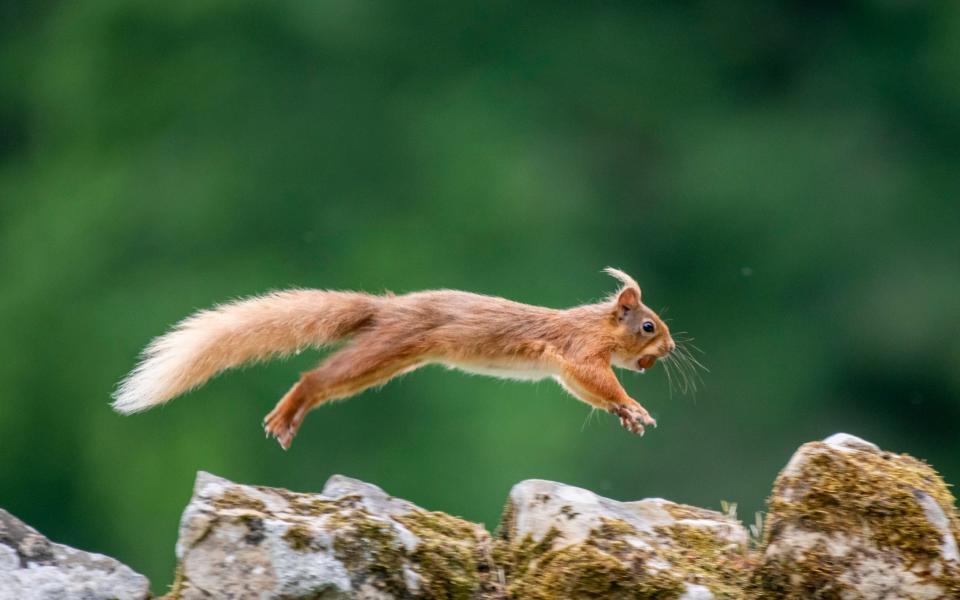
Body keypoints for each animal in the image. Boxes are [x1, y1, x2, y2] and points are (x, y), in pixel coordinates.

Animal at [112, 268, 688, 450]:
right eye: (648, 326)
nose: (671, 349)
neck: (593, 323)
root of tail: (387, 307)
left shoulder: (568, 368)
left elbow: (587, 391)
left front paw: (626, 415)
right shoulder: (577, 351)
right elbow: (594, 379)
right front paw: (634, 407)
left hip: (387, 362)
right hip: (384, 349)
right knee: (314, 376)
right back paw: (285, 413)